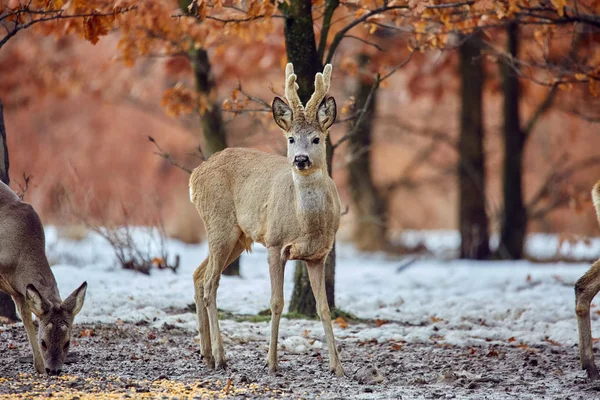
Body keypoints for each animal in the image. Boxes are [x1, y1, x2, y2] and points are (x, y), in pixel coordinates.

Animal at [0, 181, 86, 376]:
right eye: (44, 342)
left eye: (67, 343)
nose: (53, 370)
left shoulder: (18, 292)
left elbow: (27, 319)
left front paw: (38, 367)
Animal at [190, 61, 344, 376]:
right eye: (291, 138)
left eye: (316, 138)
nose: (300, 159)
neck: (307, 225)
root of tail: (193, 177)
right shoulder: (274, 242)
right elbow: (276, 302)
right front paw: (271, 362)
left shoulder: (318, 255)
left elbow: (323, 308)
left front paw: (338, 366)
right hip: (219, 225)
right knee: (211, 283)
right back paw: (221, 358)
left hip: (238, 237)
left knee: (198, 275)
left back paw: (207, 354)